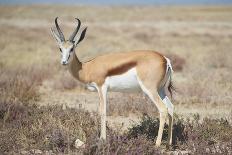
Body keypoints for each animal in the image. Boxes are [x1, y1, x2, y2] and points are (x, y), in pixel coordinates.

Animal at [50, 17, 174, 147]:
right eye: (60, 48)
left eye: (72, 48)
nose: (64, 62)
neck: (86, 68)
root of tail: (165, 59)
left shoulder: (101, 88)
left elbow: (103, 111)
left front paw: (102, 139)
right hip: (160, 90)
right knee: (171, 107)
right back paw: (169, 143)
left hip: (150, 90)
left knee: (163, 109)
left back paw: (157, 144)